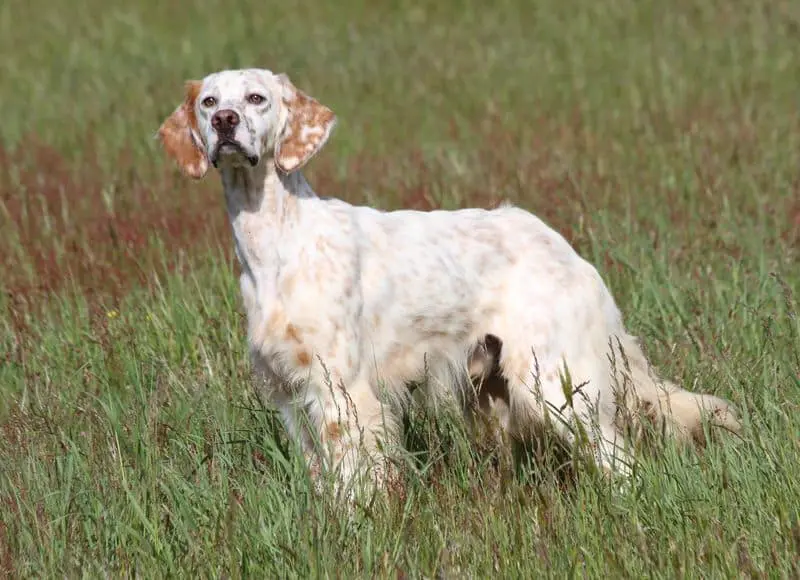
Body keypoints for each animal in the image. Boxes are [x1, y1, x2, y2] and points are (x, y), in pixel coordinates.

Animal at [157, 68, 741, 496]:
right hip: (494, 389)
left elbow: (357, 481)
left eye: (256, 98)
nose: (226, 122)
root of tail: (569, 252)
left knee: (621, 463)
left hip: (555, 385)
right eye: (209, 102)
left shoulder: (343, 390)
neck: (279, 243)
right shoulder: (288, 391)